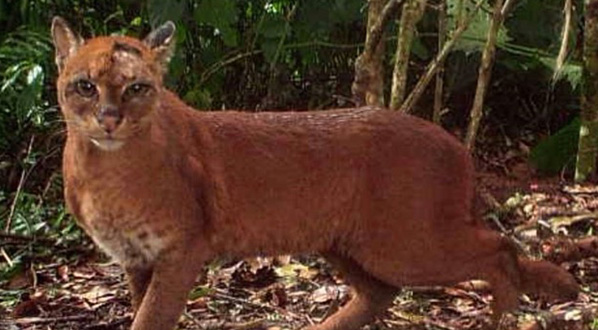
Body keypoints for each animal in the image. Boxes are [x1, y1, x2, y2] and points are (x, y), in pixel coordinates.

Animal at [52, 18, 580, 330]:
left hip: (408, 244)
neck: (105, 168)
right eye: (85, 85)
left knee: (501, 250)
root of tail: (457, 144)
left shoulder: (181, 250)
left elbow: (150, 318)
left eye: (137, 87)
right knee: (382, 291)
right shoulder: (136, 258)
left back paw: (503, 318)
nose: (109, 118)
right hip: (346, 243)